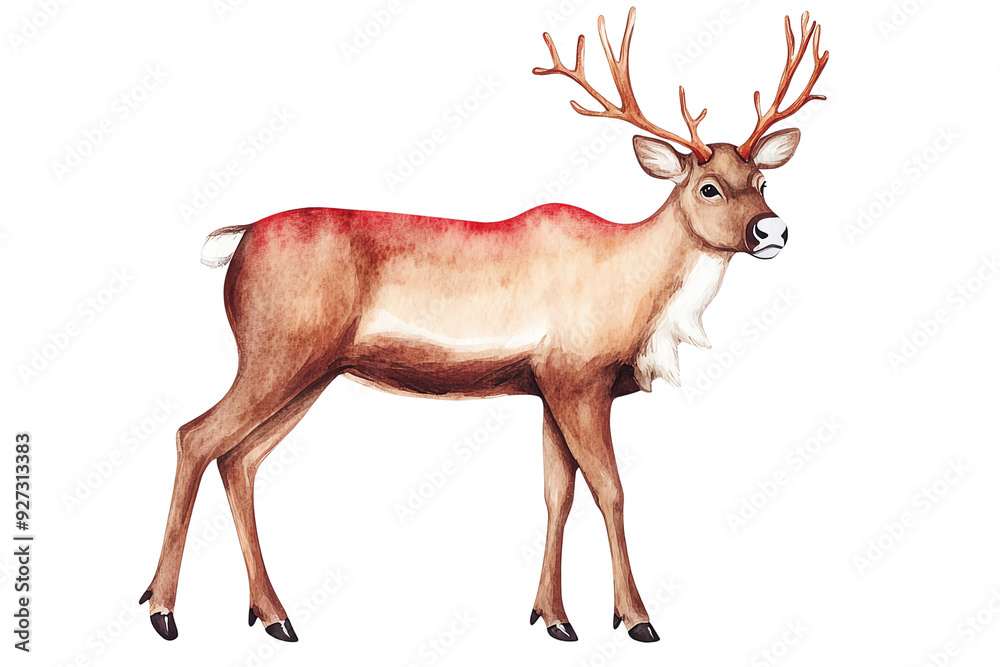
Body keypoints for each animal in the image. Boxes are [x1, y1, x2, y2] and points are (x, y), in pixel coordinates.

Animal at [140, 7, 828, 644]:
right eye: (709, 186)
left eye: (762, 180)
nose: (772, 230)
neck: (633, 290)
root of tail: (237, 240)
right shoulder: (578, 377)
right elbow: (610, 489)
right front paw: (635, 618)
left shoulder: (549, 385)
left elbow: (558, 495)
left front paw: (553, 618)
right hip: (274, 353)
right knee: (195, 437)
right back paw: (163, 610)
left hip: (312, 372)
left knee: (240, 460)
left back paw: (271, 615)